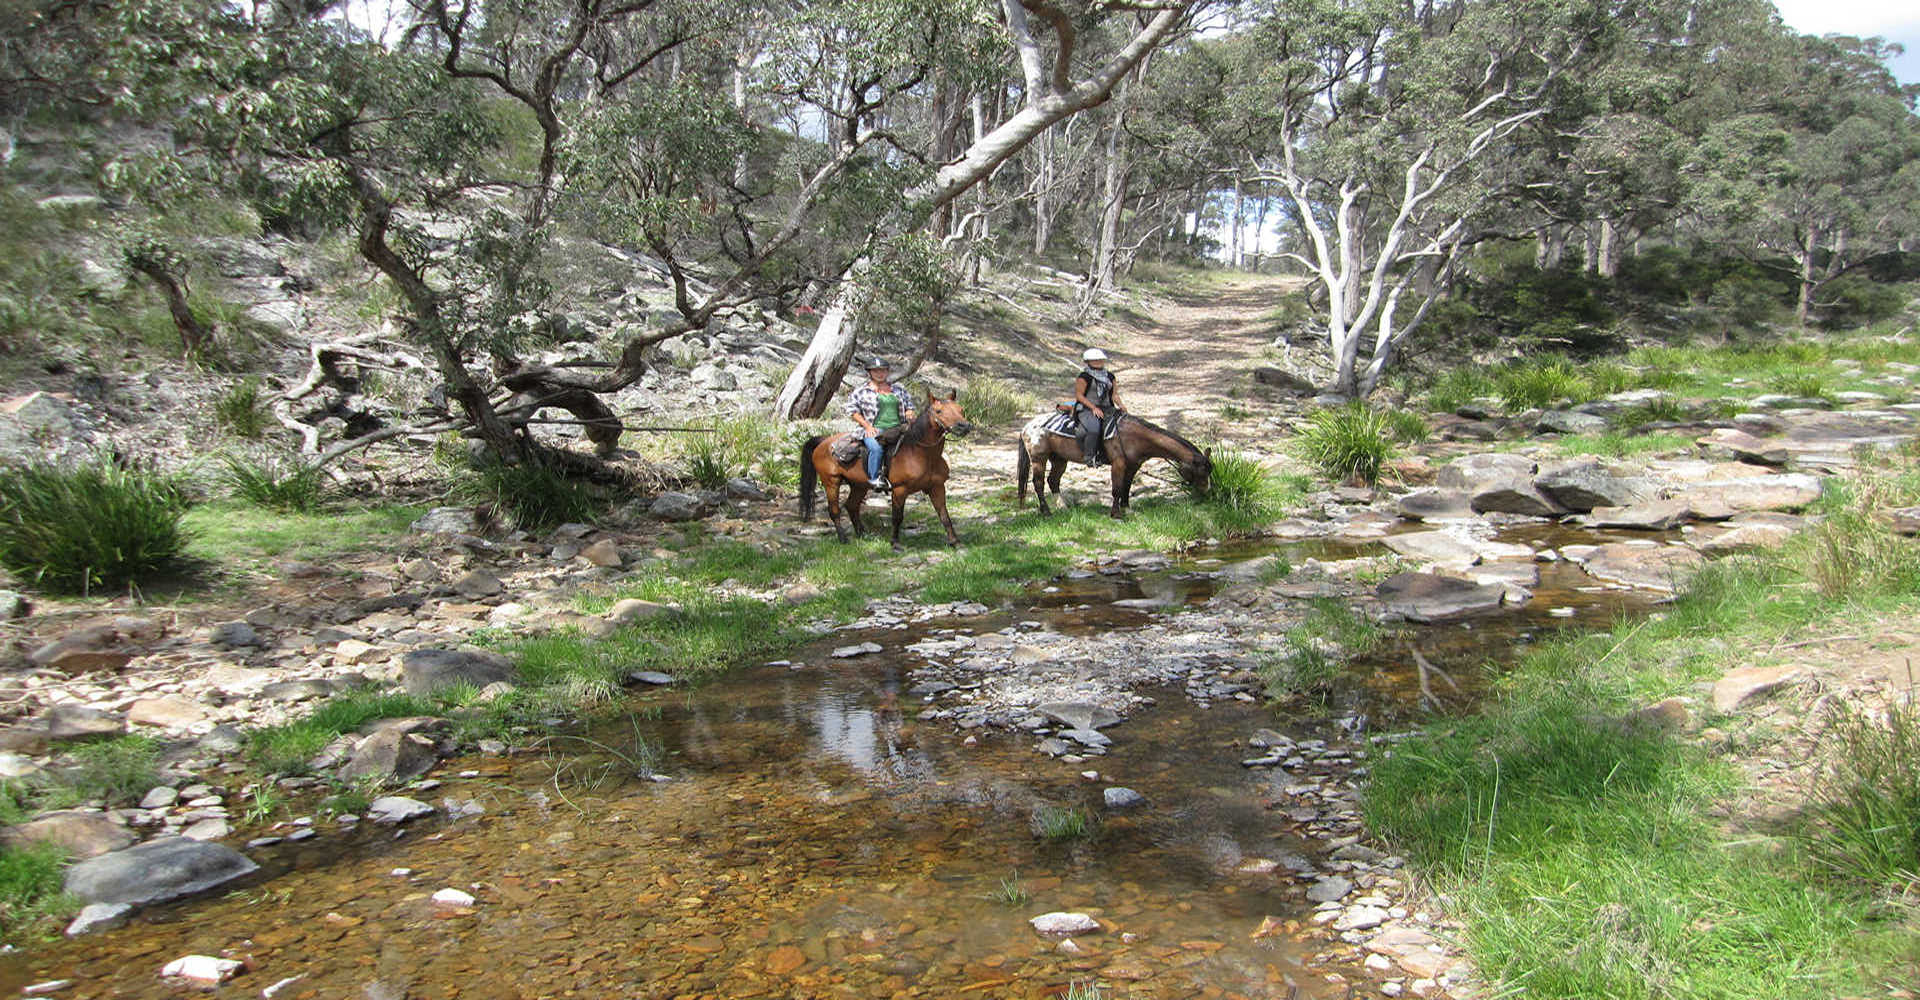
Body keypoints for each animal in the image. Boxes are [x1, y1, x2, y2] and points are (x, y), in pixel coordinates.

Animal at [798, 389, 975, 548]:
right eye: (939, 411)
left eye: (961, 410)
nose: (964, 426)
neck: (920, 453)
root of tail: (823, 441)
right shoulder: (900, 490)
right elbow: (897, 517)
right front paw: (895, 543)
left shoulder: (937, 487)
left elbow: (944, 516)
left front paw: (955, 542)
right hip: (831, 482)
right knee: (834, 510)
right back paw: (843, 538)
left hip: (859, 485)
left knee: (852, 506)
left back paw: (863, 534)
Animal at [1013, 406, 1205, 514]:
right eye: (1201, 472)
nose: (1206, 492)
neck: (1133, 435)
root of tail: (1026, 427)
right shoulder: (1118, 464)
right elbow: (1117, 488)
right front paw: (1116, 513)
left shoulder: (1133, 465)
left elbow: (1127, 487)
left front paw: (1127, 508)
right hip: (1039, 459)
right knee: (1038, 483)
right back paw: (1046, 511)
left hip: (1059, 460)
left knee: (1053, 481)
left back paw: (1062, 506)